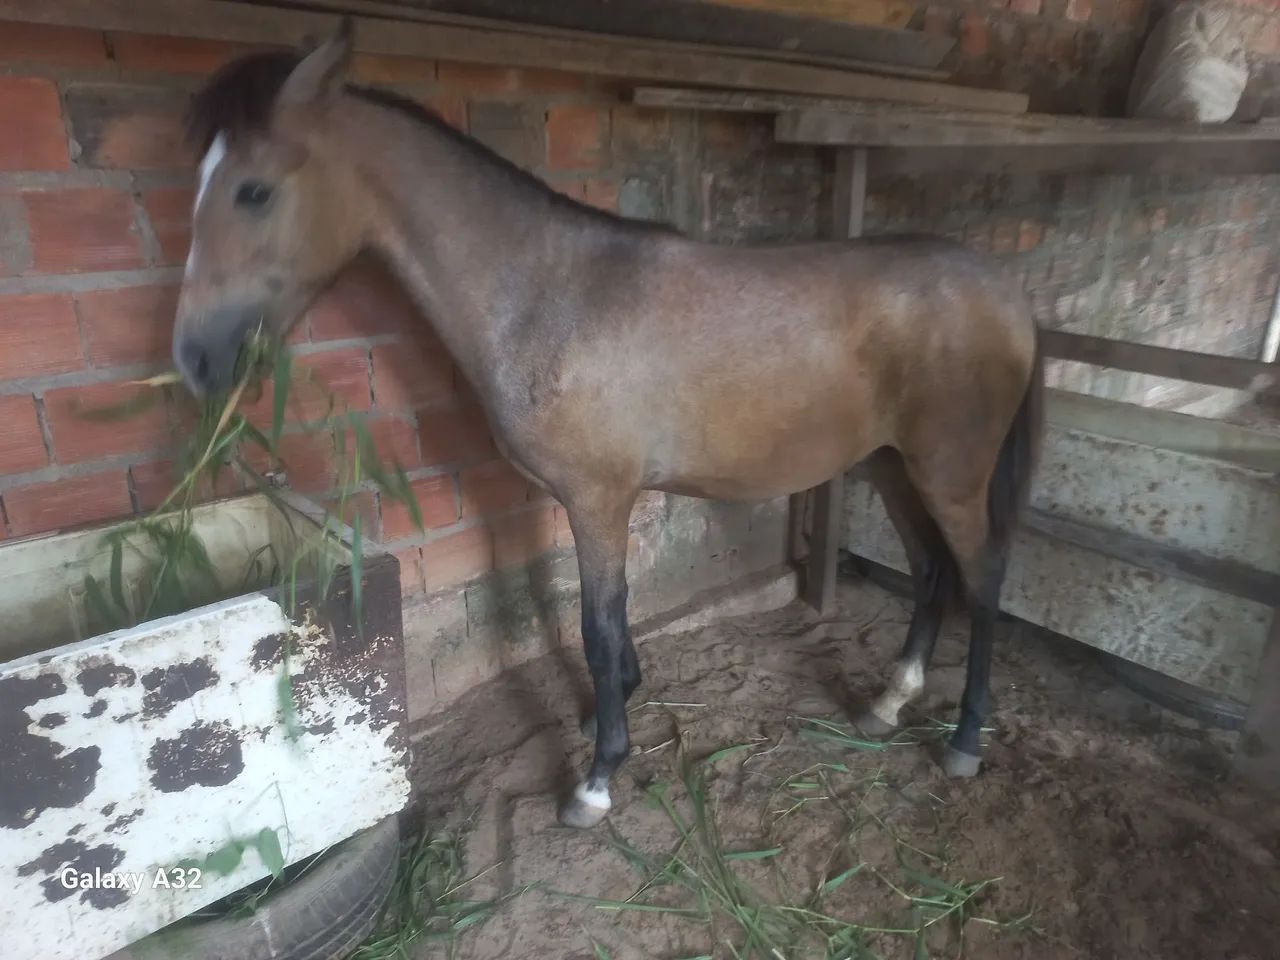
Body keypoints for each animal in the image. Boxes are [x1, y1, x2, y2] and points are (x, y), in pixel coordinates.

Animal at [173, 22, 1043, 830]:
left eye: (253, 191)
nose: (193, 358)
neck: (549, 295)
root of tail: (1005, 291)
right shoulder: (585, 502)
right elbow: (610, 625)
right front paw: (611, 712)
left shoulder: (597, 499)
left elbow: (596, 626)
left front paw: (596, 777)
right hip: (896, 464)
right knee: (931, 571)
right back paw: (889, 701)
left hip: (949, 472)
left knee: (984, 578)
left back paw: (965, 739)